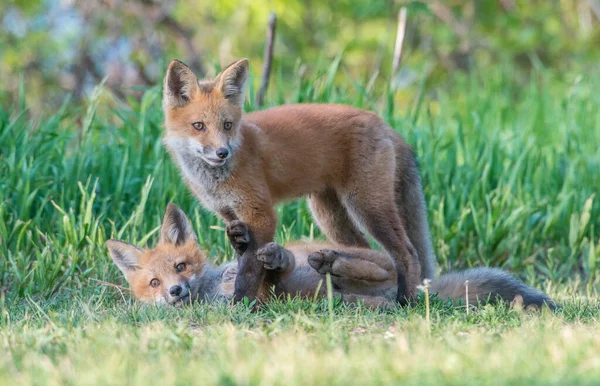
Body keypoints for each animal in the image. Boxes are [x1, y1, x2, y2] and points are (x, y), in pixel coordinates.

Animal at [163, 58, 436, 304]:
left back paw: (405, 301)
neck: (215, 180)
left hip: (366, 205)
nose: (222, 153)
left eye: (227, 125)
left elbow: (249, 270)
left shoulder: (261, 213)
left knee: (407, 253)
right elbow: (242, 258)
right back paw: (335, 273)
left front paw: (243, 304)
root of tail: (383, 123)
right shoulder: (230, 214)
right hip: (328, 214)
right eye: (199, 126)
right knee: (364, 248)